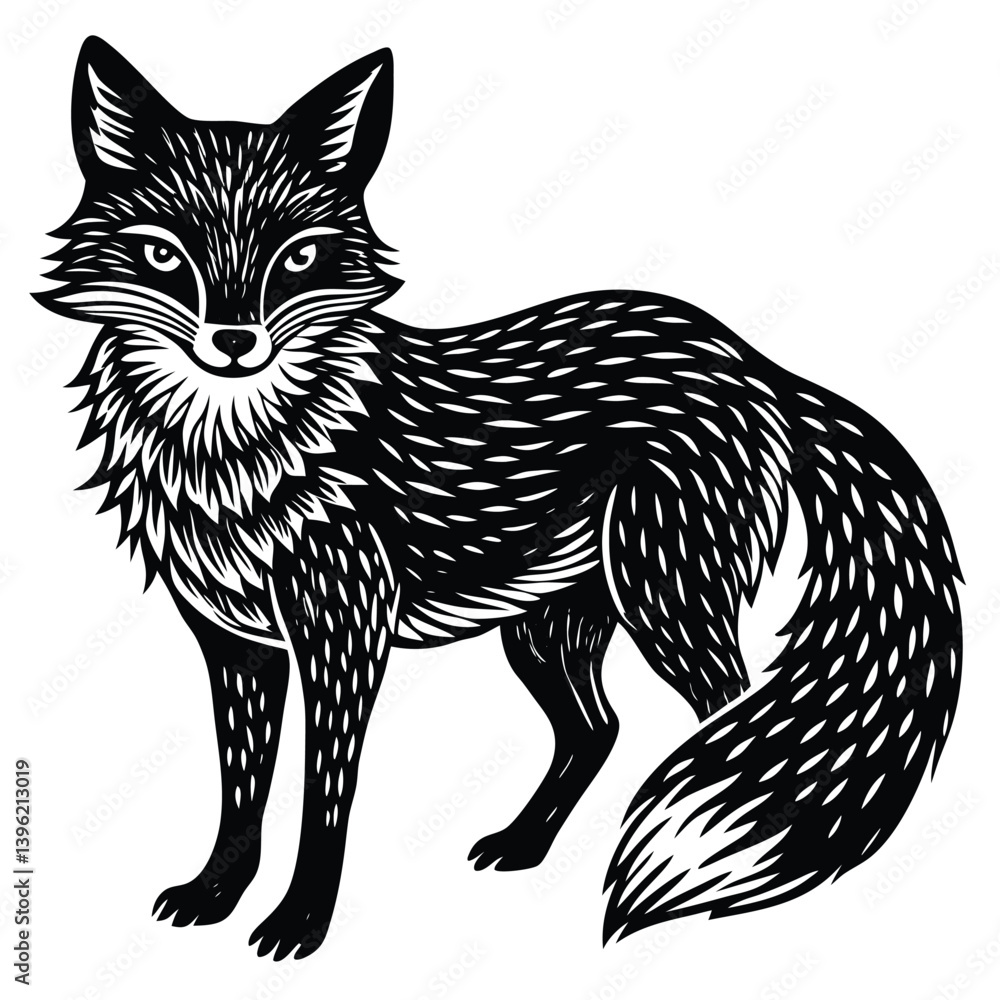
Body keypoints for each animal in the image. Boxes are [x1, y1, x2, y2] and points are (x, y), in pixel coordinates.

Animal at [37, 37, 963, 961]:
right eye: (165, 254)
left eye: (298, 257)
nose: (234, 342)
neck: (232, 451)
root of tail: (752, 359)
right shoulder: (237, 644)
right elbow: (241, 794)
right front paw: (215, 894)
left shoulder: (346, 636)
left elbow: (323, 801)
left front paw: (301, 923)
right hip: (548, 630)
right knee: (599, 730)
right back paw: (524, 845)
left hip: (663, 602)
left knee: (727, 719)